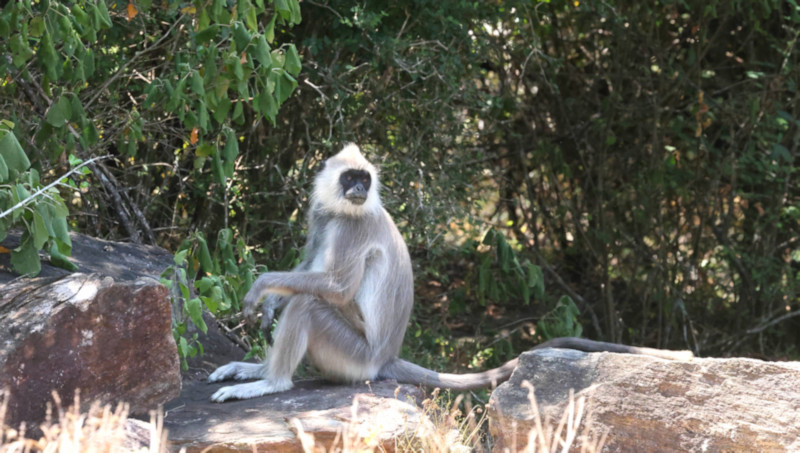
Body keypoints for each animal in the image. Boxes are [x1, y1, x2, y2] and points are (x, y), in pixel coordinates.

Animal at [208, 143, 692, 400]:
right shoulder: (324, 217)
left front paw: (263, 288)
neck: (346, 210)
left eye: (365, 179)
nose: (360, 188)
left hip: (355, 357)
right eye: (350, 178)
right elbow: (309, 266)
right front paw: (269, 301)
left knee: (311, 304)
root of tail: (384, 359)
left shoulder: (354, 226)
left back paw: (271, 382)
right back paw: (257, 369)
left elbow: (337, 288)